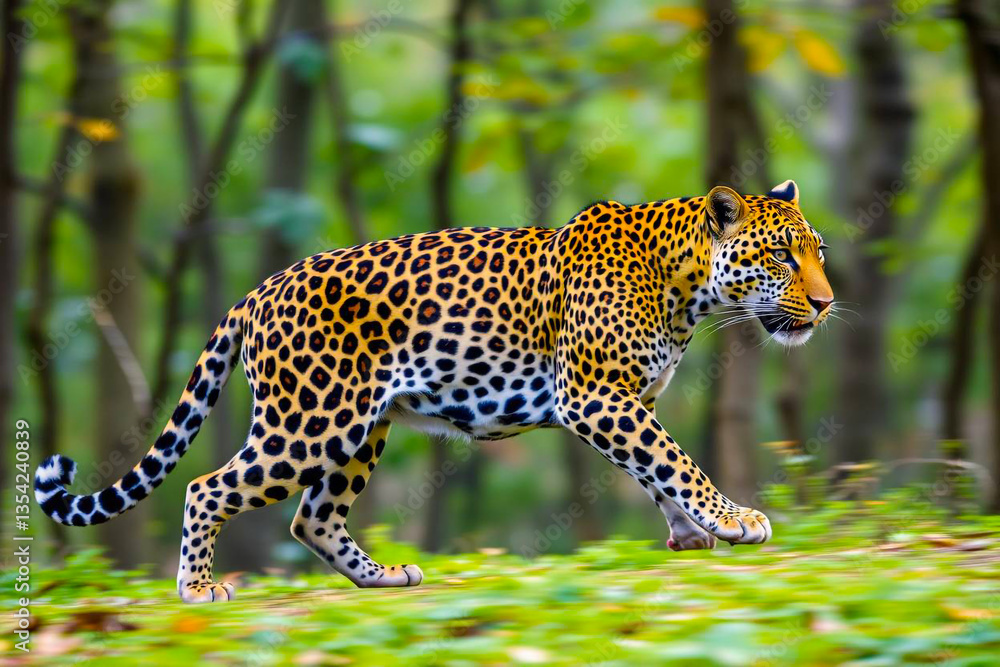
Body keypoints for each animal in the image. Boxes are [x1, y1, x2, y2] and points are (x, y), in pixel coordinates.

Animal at [36, 179, 834, 603]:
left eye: (817, 252)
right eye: (781, 255)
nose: (826, 304)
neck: (686, 286)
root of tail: (258, 290)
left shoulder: (629, 399)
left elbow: (657, 466)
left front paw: (692, 534)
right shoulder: (597, 397)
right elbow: (675, 458)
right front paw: (733, 519)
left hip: (361, 430)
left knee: (311, 519)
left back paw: (384, 578)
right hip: (308, 425)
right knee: (208, 488)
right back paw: (199, 589)